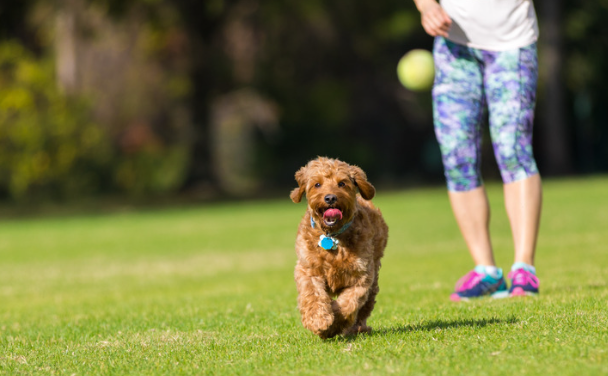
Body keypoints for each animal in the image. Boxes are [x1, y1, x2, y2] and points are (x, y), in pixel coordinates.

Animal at [290, 157, 390, 340]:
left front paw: (334, 324)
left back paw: (358, 328)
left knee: (364, 308)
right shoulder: (307, 269)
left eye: (342, 183)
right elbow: (312, 294)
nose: (330, 198)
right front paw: (319, 320)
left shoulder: (361, 276)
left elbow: (348, 303)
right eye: (317, 184)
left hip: (373, 280)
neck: (332, 236)